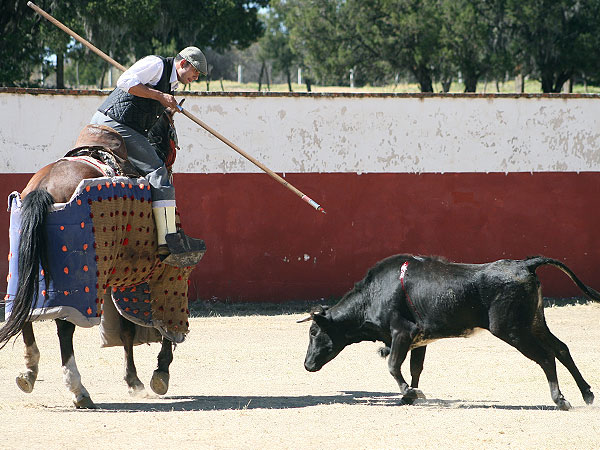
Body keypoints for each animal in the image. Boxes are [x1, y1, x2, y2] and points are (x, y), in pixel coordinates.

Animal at [0, 108, 192, 408]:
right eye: (172, 131)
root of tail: (43, 187)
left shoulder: (118, 276)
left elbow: (126, 329)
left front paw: (133, 380)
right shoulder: (158, 272)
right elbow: (157, 320)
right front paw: (159, 372)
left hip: (26, 265)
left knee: (24, 308)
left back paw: (29, 372)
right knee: (64, 328)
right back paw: (78, 389)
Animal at [298, 255, 600, 410]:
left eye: (313, 331)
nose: (307, 365)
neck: (373, 294)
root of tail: (523, 264)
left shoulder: (402, 333)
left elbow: (393, 365)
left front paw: (409, 393)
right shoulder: (419, 340)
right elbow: (415, 368)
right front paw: (411, 395)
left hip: (513, 330)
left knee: (546, 356)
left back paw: (560, 399)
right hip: (535, 322)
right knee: (561, 348)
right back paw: (586, 394)